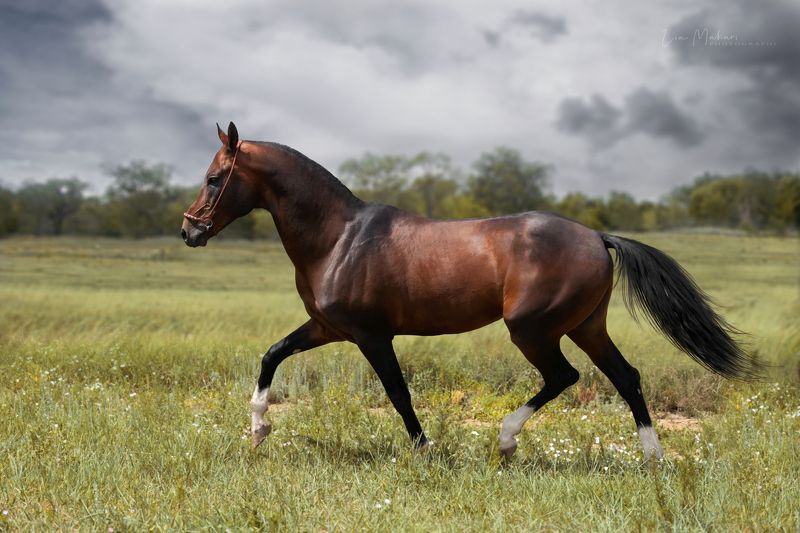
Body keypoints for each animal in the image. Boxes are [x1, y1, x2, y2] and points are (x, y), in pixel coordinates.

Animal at [181, 122, 759, 461]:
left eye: (213, 178)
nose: (189, 231)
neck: (338, 238)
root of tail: (598, 237)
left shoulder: (371, 335)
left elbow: (398, 393)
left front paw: (426, 450)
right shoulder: (327, 328)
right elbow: (271, 355)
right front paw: (258, 430)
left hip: (533, 329)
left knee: (565, 377)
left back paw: (506, 440)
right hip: (585, 326)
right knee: (626, 377)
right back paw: (652, 457)